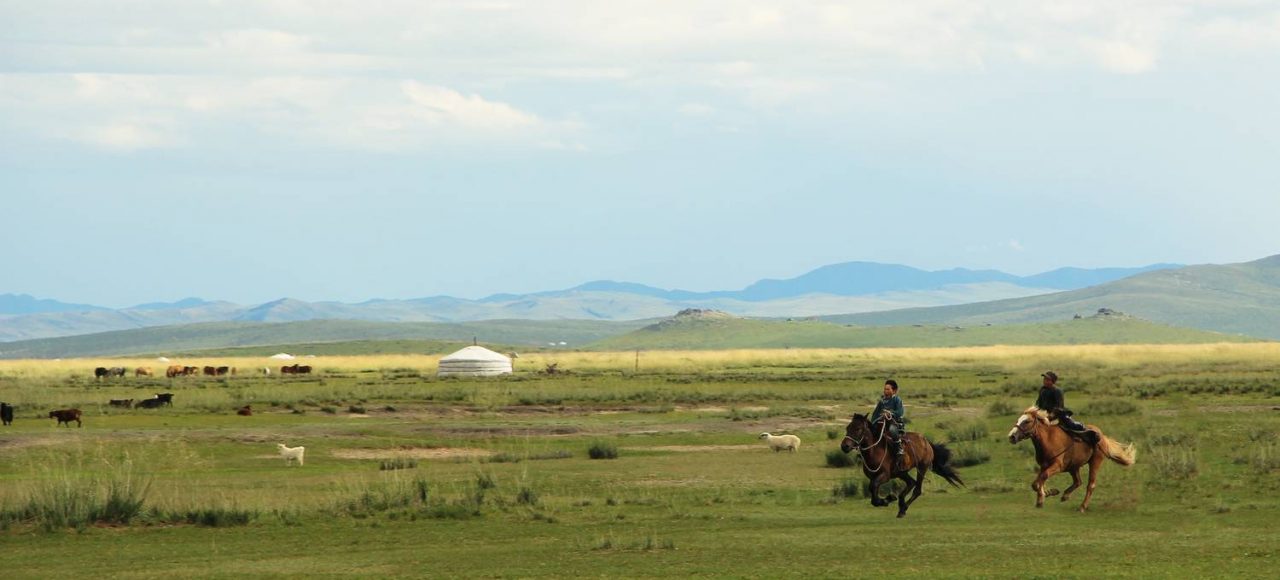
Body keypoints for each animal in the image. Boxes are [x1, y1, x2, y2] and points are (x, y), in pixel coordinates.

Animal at [1008, 407, 1141, 512]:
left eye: (1027, 421)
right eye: (1018, 420)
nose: (1011, 436)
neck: (1049, 439)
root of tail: (1101, 436)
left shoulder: (1057, 466)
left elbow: (1041, 480)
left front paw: (1045, 495)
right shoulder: (1044, 466)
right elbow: (1037, 482)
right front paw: (1045, 496)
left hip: (1095, 462)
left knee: (1090, 485)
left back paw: (1082, 507)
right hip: (1073, 466)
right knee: (1078, 481)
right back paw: (1065, 496)